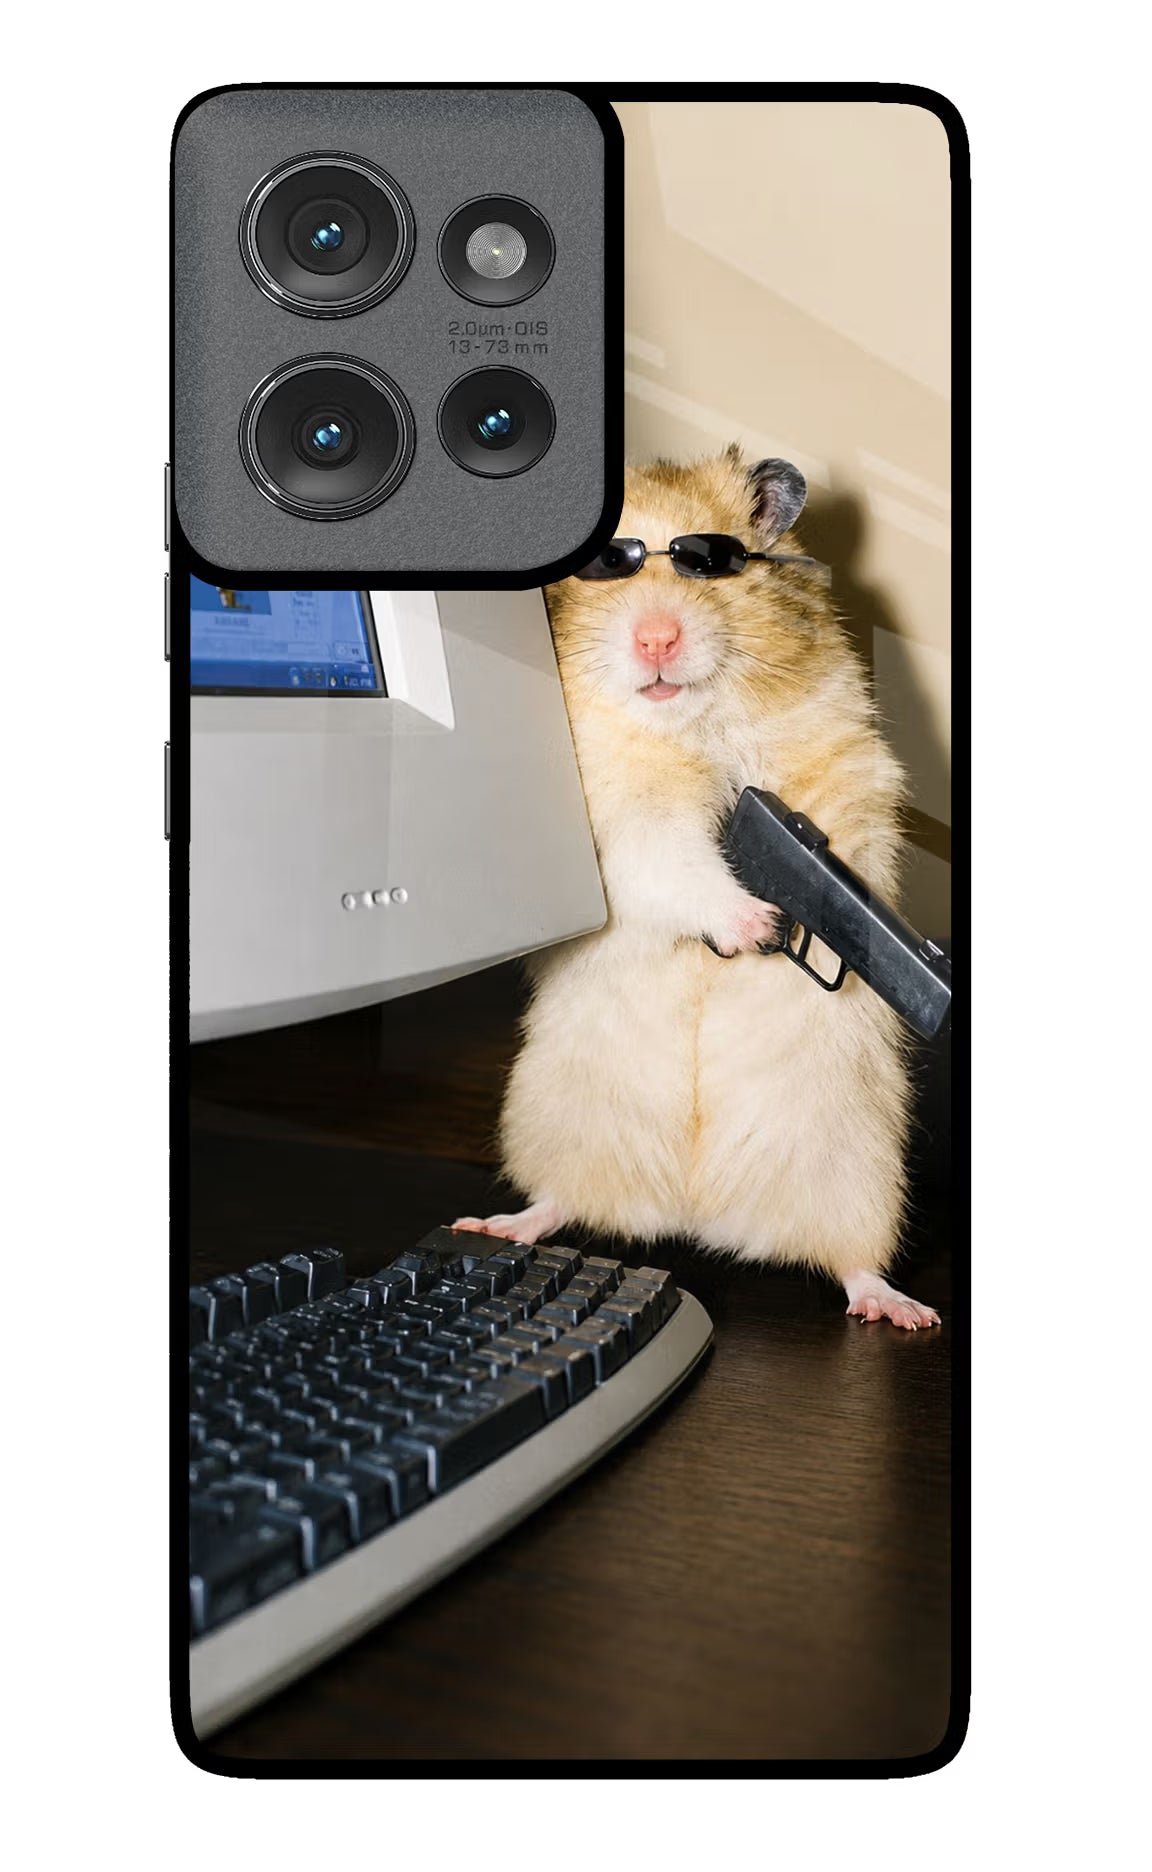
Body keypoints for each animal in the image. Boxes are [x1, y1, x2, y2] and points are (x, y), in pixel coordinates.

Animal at [456, 447, 939, 1329]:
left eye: (708, 562)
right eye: (606, 565)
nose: (657, 638)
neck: (690, 723)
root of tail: (694, 1212)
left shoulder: (843, 764)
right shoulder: (621, 818)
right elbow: (676, 862)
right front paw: (756, 925)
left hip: (857, 1170)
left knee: (852, 1261)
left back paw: (901, 1310)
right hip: (556, 1119)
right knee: (560, 1200)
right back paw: (497, 1224)